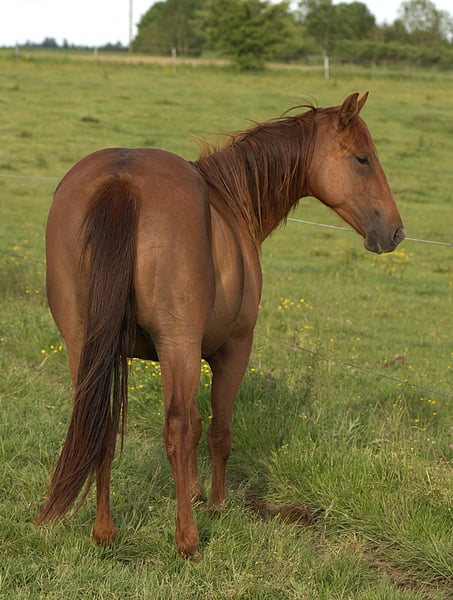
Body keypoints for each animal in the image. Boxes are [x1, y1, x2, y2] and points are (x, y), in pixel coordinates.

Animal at [37, 92, 405, 559]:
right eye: (362, 159)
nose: (395, 232)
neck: (229, 205)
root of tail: (121, 180)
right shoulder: (230, 350)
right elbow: (215, 431)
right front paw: (215, 505)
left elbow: (195, 425)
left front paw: (195, 493)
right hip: (175, 345)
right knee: (174, 430)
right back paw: (187, 541)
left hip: (85, 346)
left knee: (100, 420)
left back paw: (104, 533)